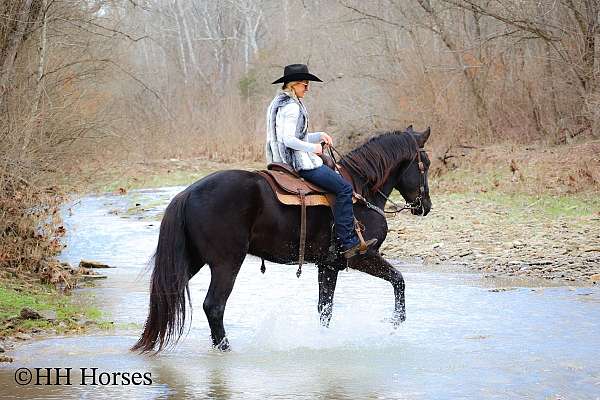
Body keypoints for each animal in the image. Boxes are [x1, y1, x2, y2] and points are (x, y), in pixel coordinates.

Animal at [132, 126, 432, 352]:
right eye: (425, 165)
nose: (425, 206)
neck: (361, 191)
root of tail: (187, 193)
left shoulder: (328, 266)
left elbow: (325, 309)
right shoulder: (360, 256)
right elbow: (398, 281)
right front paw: (396, 323)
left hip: (193, 260)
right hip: (226, 263)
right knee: (214, 306)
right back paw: (225, 349)